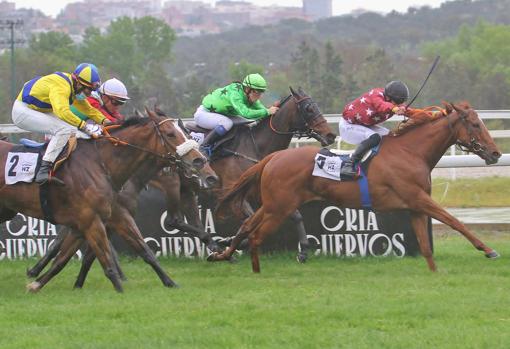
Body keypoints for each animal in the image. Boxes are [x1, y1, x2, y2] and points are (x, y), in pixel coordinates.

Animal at [0, 111, 217, 290]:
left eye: (187, 134)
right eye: (171, 134)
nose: (201, 163)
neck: (101, 164)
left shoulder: (105, 219)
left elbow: (143, 250)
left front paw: (170, 282)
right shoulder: (92, 219)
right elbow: (103, 260)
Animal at [165, 86, 336, 260]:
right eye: (309, 109)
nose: (330, 135)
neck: (254, 147)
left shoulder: (263, 192)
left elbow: (295, 215)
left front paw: (303, 251)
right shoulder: (232, 196)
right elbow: (250, 222)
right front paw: (231, 242)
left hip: (184, 188)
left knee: (177, 220)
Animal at [214, 102, 502, 274]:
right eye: (475, 124)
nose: (496, 153)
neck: (412, 152)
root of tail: (272, 157)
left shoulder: (415, 207)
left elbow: (426, 247)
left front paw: (434, 272)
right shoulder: (418, 199)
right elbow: (455, 221)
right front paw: (489, 250)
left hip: (273, 205)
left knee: (247, 226)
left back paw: (222, 254)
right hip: (279, 208)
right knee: (256, 236)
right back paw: (255, 270)